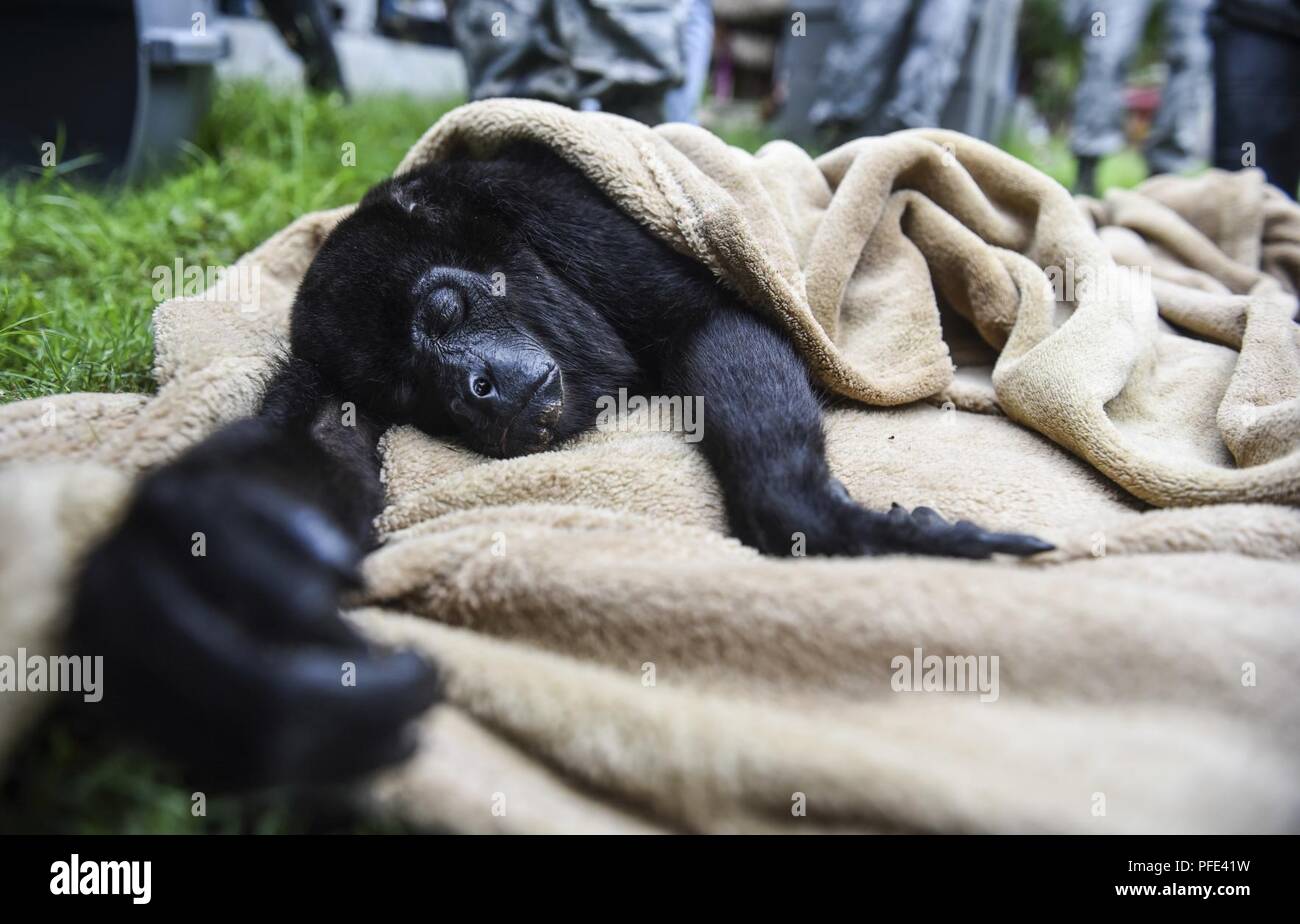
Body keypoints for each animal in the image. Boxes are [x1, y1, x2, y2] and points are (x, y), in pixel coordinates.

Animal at [65, 142, 1050, 790]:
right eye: (404, 391)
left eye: (447, 309)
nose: (475, 388)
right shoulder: (319, 381)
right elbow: (309, 455)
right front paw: (190, 576)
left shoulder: (557, 213)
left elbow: (714, 321)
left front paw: (810, 512)